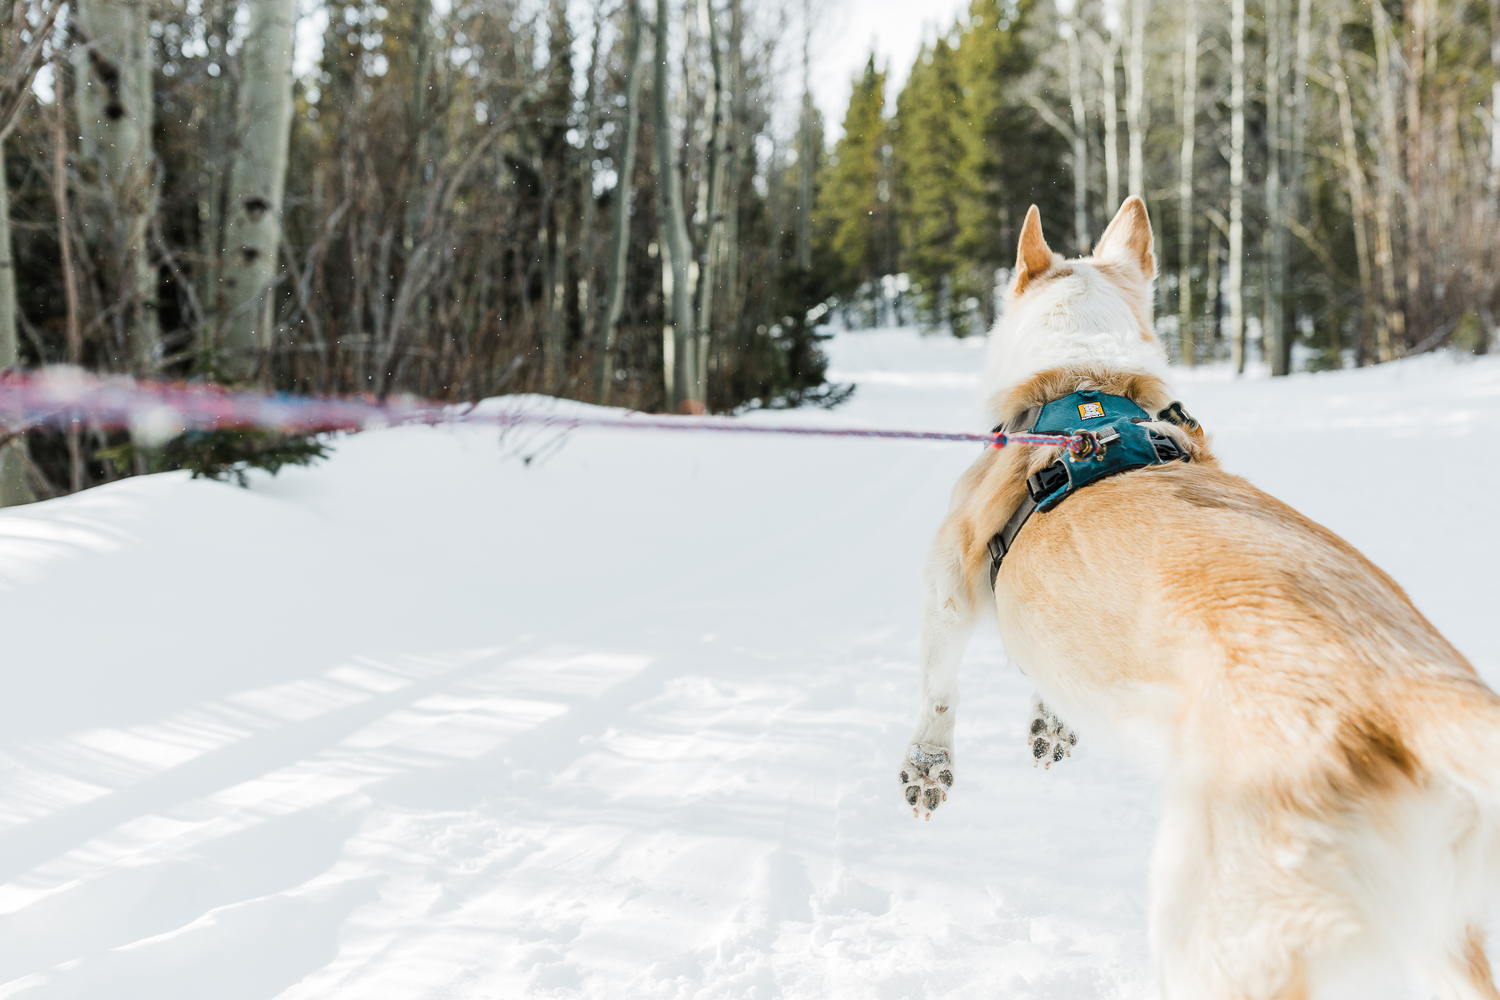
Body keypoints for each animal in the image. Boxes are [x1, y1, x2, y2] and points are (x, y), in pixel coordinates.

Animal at [894, 197, 1500, 1000]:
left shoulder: (948, 585)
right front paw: (1052, 719)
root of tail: (1403, 693)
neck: (1084, 378)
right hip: (1441, 935)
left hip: (1212, 924)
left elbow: (937, 688)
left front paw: (928, 768)